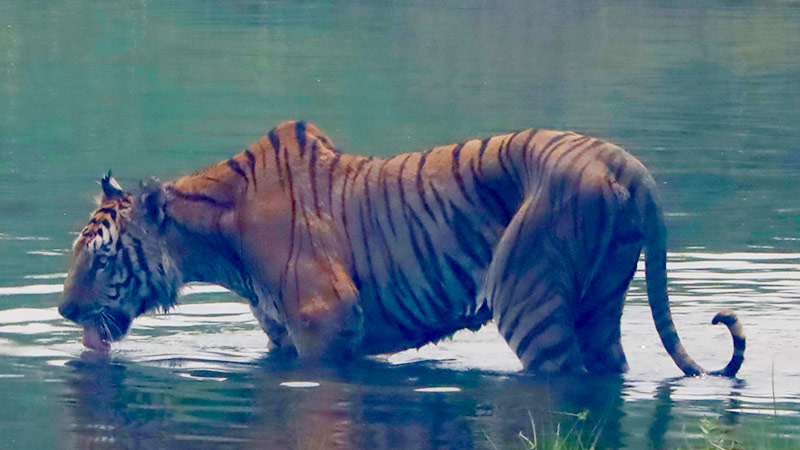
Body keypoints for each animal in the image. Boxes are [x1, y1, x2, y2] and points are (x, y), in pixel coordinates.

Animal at [59, 119, 748, 376]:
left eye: (102, 258)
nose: (64, 311)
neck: (217, 242)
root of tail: (624, 162)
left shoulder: (326, 322)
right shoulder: (284, 335)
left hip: (528, 299)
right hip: (601, 301)